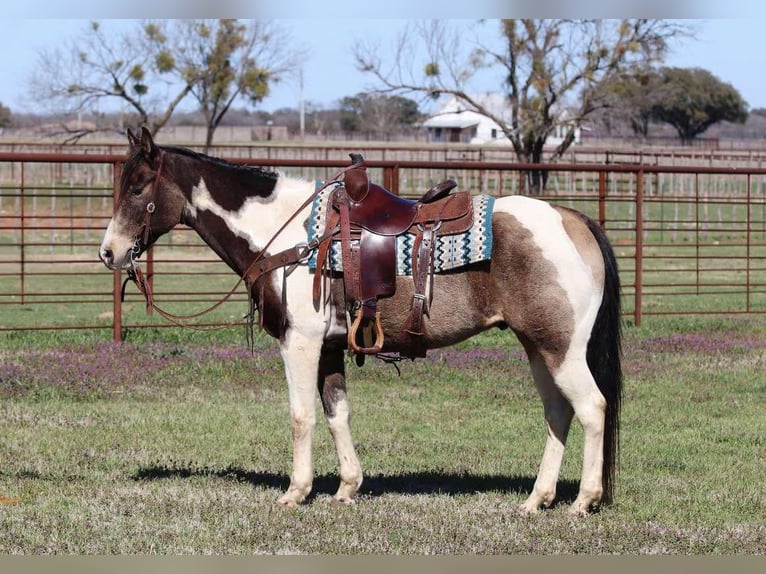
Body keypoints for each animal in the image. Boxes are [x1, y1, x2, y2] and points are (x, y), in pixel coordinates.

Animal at [99, 127, 622, 516]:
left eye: (138, 187)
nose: (109, 252)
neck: (287, 236)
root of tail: (573, 219)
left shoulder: (301, 342)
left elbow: (302, 415)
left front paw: (296, 492)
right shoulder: (330, 347)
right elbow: (338, 413)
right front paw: (347, 488)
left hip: (560, 349)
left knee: (592, 407)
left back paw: (583, 501)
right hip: (539, 347)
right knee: (558, 412)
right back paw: (537, 499)